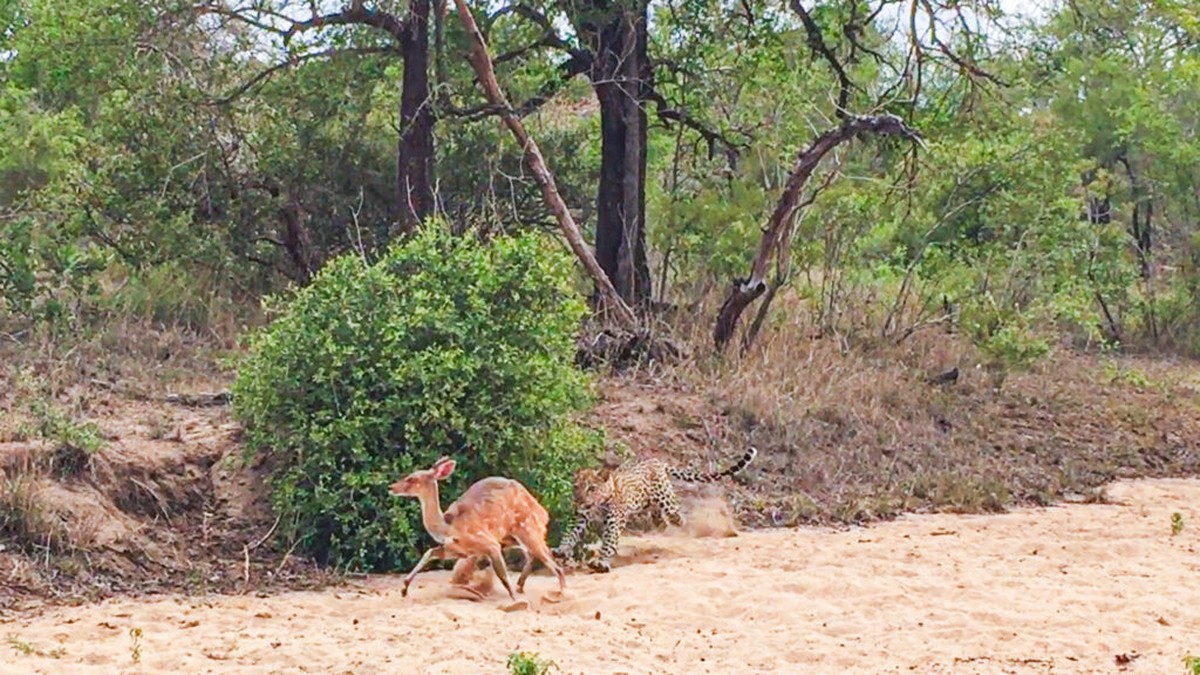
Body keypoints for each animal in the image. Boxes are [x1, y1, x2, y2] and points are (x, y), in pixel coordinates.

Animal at [388, 456, 566, 598]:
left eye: (412, 478)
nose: (391, 487)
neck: (449, 527)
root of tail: (543, 513)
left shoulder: (489, 543)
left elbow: (503, 576)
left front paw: (515, 600)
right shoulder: (460, 550)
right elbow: (429, 552)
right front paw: (404, 589)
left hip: (527, 529)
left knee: (553, 563)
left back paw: (560, 593)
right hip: (512, 537)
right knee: (535, 555)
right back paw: (521, 586)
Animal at [549, 444, 753, 569]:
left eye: (591, 488)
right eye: (576, 487)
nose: (579, 500)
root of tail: (656, 461)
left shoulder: (615, 518)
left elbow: (609, 540)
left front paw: (601, 562)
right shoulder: (580, 516)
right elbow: (570, 533)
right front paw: (562, 550)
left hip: (666, 499)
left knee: (676, 515)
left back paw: (684, 524)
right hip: (648, 504)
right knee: (660, 516)